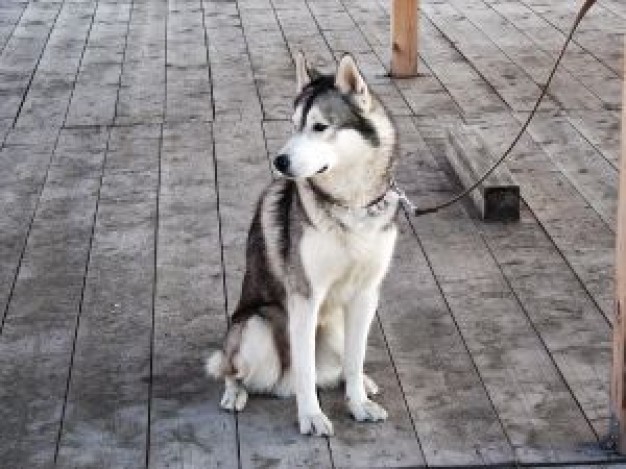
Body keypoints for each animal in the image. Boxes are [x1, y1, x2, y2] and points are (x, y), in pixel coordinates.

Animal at [207, 52, 398, 436]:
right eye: (294, 124)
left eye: (320, 127)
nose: (279, 161)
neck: (350, 207)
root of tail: (282, 385)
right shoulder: (306, 299)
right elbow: (306, 370)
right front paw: (311, 416)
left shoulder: (366, 295)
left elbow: (355, 358)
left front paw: (358, 403)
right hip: (256, 328)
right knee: (232, 368)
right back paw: (235, 393)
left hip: (336, 327)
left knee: (341, 364)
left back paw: (361, 383)